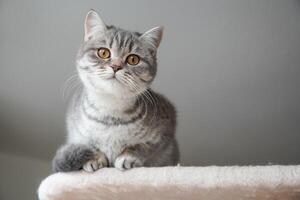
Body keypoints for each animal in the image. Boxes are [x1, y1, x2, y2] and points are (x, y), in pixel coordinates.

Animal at [52, 9, 179, 172]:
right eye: (103, 52)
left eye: (133, 59)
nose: (116, 66)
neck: (110, 113)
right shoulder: (76, 133)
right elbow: (90, 145)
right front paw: (94, 158)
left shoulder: (165, 130)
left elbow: (143, 147)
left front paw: (129, 156)